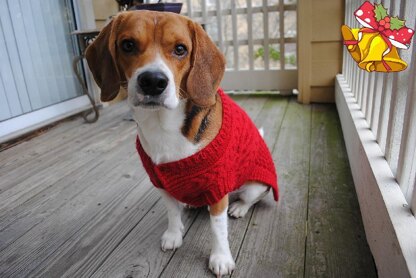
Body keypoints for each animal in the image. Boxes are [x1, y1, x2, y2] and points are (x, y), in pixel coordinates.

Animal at [85, 10, 278, 276]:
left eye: (180, 49)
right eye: (128, 45)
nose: (153, 81)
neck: (162, 126)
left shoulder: (217, 188)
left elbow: (218, 228)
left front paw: (221, 258)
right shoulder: (161, 182)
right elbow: (172, 213)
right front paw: (174, 235)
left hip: (255, 186)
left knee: (250, 199)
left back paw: (239, 208)